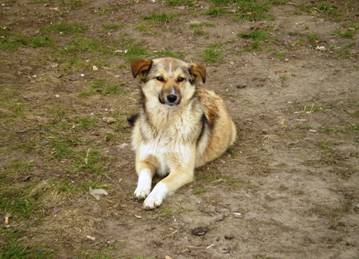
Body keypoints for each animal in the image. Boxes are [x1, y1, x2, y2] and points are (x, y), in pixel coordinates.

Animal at [129, 57, 236, 209]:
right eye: (159, 78)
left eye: (180, 79)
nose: (172, 97)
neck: (165, 123)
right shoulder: (144, 160)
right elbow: (144, 175)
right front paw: (142, 189)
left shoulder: (182, 170)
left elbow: (162, 183)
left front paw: (152, 198)